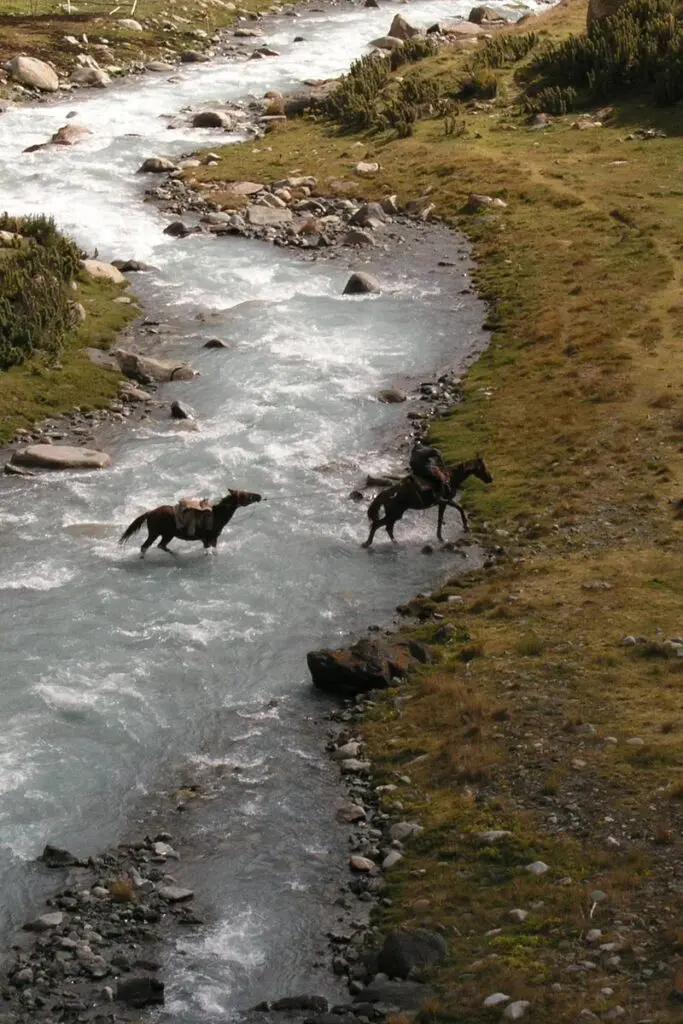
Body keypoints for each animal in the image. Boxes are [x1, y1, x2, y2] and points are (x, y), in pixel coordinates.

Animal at [119, 490, 263, 559]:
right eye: (246, 495)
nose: (259, 496)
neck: (217, 515)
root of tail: (150, 512)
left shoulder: (209, 539)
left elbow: (211, 550)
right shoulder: (210, 538)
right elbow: (210, 551)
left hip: (167, 534)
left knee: (161, 545)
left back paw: (176, 555)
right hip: (155, 533)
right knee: (145, 546)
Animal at [362, 456, 492, 549]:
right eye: (483, 467)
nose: (491, 479)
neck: (451, 478)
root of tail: (387, 493)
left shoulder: (443, 503)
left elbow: (443, 517)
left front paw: (441, 537)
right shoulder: (444, 501)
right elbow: (458, 509)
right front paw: (465, 527)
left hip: (394, 515)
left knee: (388, 528)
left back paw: (395, 543)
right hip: (394, 514)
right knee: (377, 525)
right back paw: (367, 543)